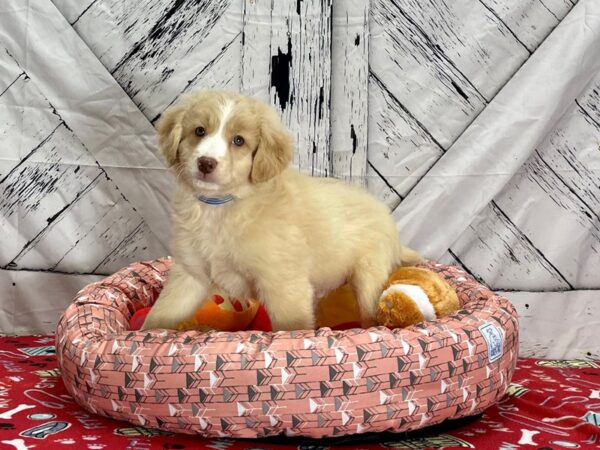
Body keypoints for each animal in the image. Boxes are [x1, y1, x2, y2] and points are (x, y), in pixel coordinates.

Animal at [142, 90, 420, 330]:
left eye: (239, 141)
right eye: (199, 131)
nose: (205, 163)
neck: (221, 207)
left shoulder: (283, 284)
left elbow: (292, 327)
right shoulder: (190, 273)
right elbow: (161, 313)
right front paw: (140, 339)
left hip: (369, 277)